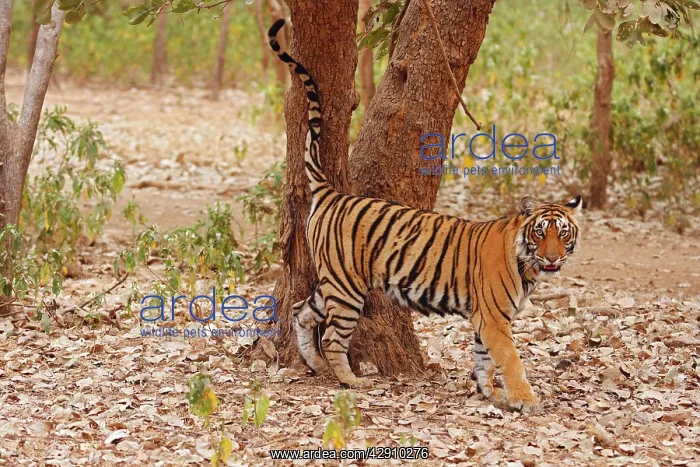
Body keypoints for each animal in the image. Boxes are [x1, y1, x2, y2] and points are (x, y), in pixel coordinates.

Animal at [268, 18, 582, 413]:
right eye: (541, 232)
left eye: (563, 233)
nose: (553, 259)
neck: (526, 264)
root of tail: (332, 193)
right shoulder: (494, 317)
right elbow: (510, 359)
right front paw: (525, 400)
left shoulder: (485, 319)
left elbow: (484, 359)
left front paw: (489, 393)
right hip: (346, 287)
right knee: (333, 337)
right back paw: (350, 380)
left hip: (333, 283)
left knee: (300, 309)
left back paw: (315, 364)